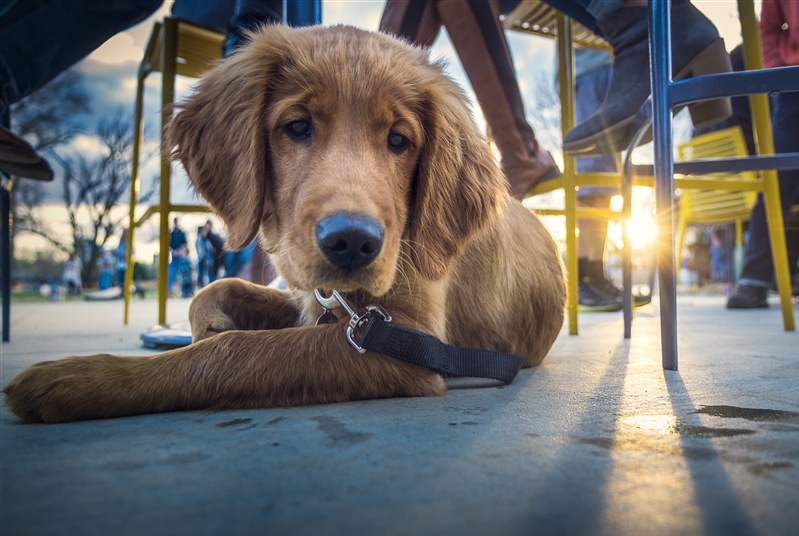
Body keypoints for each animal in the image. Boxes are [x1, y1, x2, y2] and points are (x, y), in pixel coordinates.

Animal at [6, 24, 568, 422]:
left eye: (399, 141)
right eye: (297, 127)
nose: (352, 243)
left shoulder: (407, 339)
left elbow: (232, 354)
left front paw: (84, 379)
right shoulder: (317, 298)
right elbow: (218, 289)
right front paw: (210, 323)